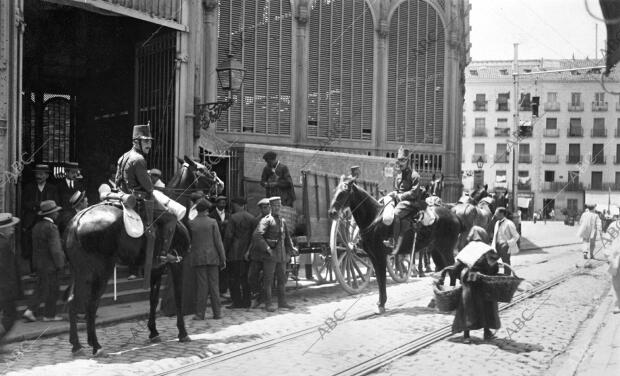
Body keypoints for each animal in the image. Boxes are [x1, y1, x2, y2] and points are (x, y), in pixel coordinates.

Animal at [65, 155, 216, 356]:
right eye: (203, 169)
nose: (220, 183)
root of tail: (78, 220)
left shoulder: (157, 268)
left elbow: (153, 299)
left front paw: (153, 332)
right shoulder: (177, 263)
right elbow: (178, 296)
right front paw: (183, 333)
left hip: (79, 271)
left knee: (72, 301)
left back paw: (77, 344)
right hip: (100, 271)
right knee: (91, 303)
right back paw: (96, 345)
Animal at [330, 175, 460, 312]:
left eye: (344, 192)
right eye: (334, 191)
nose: (332, 212)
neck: (374, 218)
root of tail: (454, 215)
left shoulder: (380, 255)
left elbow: (382, 278)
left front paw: (381, 304)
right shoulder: (373, 256)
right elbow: (379, 279)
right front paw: (381, 303)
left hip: (446, 250)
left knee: (451, 270)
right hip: (436, 250)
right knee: (442, 270)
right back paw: (435, 301)